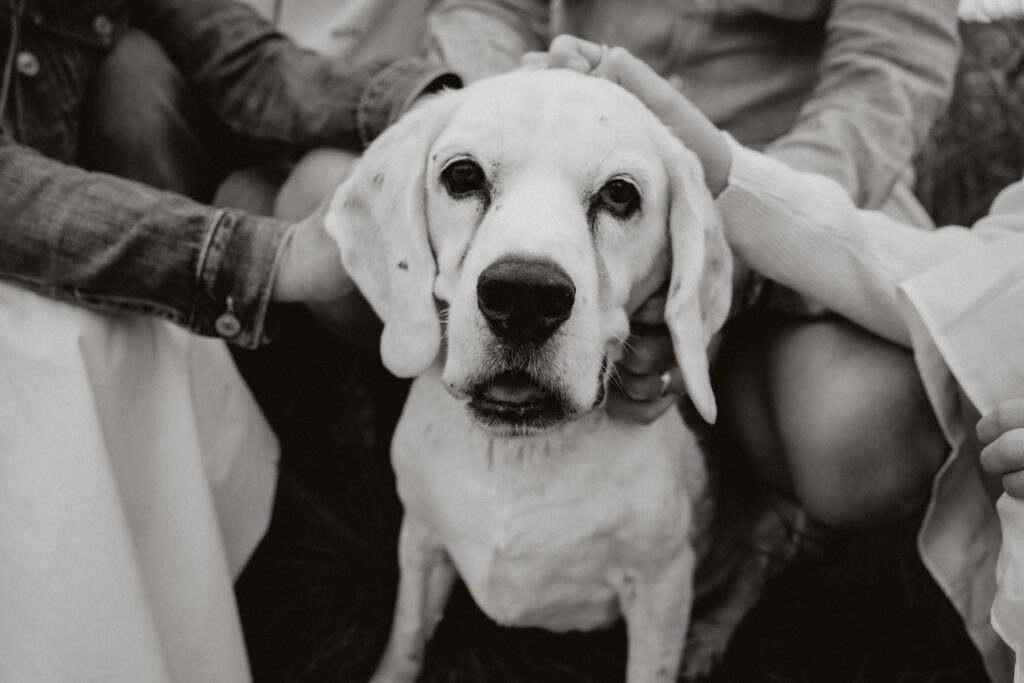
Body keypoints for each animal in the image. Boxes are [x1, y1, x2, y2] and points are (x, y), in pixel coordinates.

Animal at [323, 69, 794, 683]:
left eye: (620, 194)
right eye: (462, 175)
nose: (523, 296)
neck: (520, 459)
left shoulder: (662, 586)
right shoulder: (421, 538)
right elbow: (404, 640)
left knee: (753, 576)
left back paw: (708, 640)